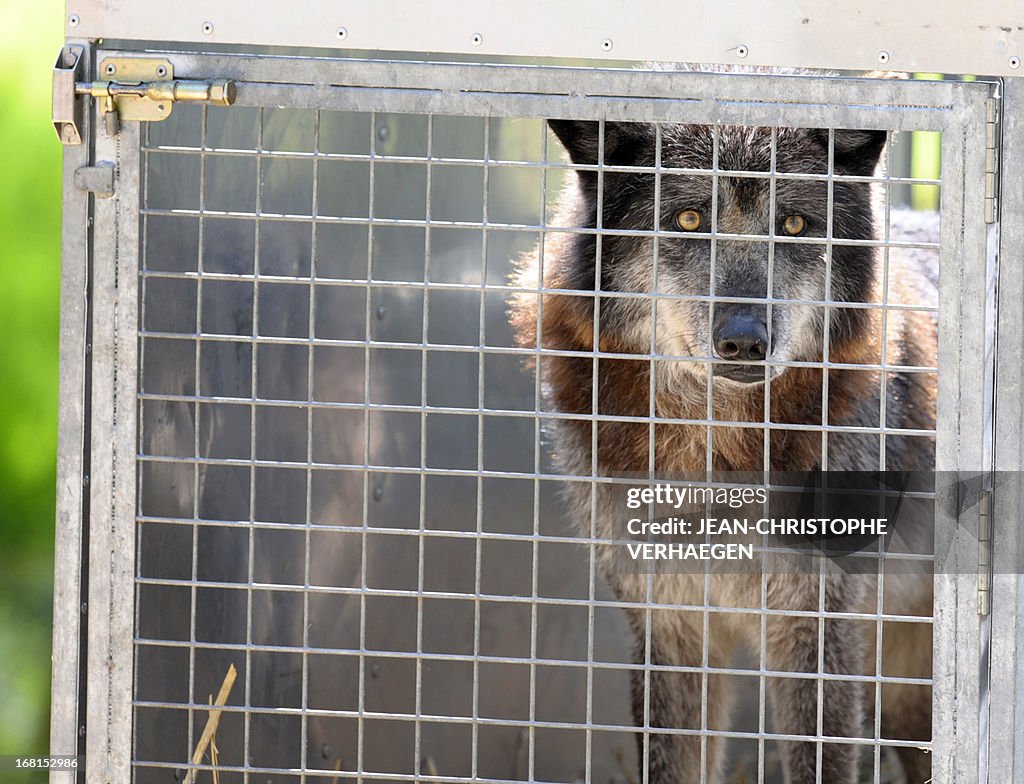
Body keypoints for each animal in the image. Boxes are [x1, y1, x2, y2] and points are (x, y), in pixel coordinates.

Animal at [505, 112, 937, 784]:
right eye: (688, 219)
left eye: (793, 224)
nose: (743, 340)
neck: (717, 455)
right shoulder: (671, 627)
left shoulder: (815, 632)